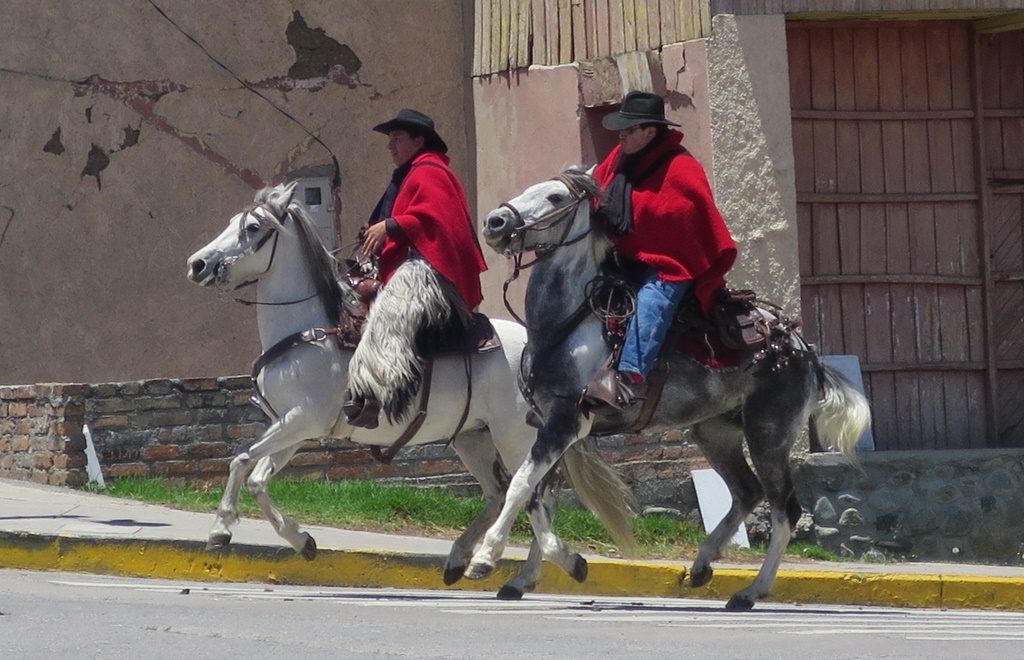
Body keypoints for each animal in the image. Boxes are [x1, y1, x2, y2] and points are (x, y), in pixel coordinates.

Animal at [183, 183, 630, 601]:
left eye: (253, 228)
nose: (197, 263)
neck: (313, 331)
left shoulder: (300, 421)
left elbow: (241, 460)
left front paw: (221, 528)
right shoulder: (293, 429)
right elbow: (256, 476)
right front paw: (300, 540)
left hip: (516, 436)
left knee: (533, 495)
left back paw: (535, 565)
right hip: (474, 437)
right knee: (502, 492)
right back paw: (471, 562)